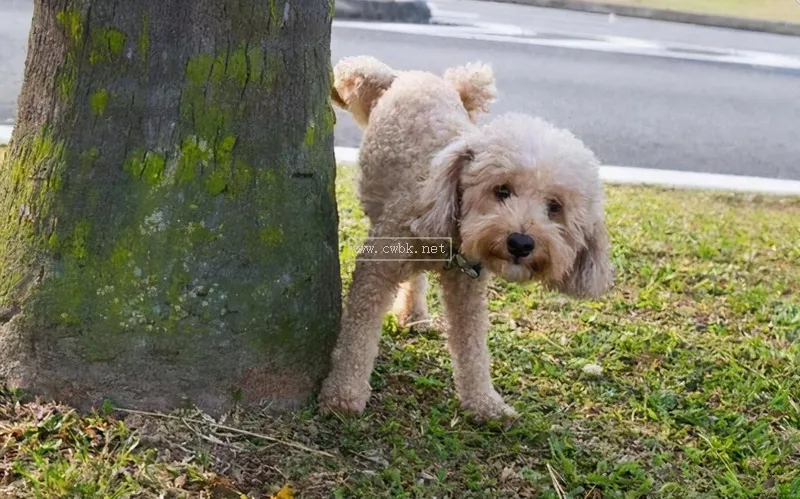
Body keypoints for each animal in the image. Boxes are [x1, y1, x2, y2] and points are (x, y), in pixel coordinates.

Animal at [318, 54, 612, 422]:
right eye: (502, 190)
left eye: (554, 207)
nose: (521, 243)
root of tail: (413, 76)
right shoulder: (377, 265)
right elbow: (358, 334)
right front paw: (343, 393)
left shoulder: (467, 286)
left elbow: (472, 346)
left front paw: (484, 402)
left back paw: (414, 314)